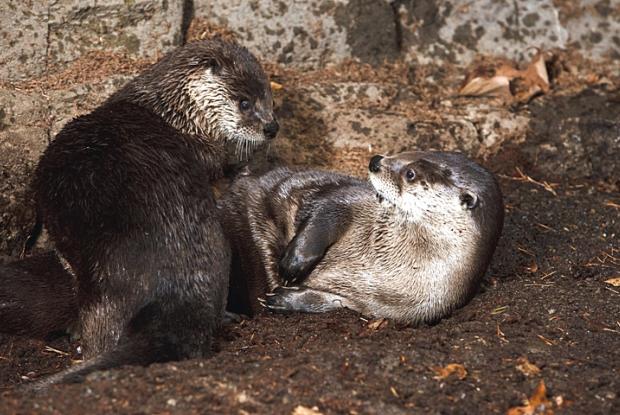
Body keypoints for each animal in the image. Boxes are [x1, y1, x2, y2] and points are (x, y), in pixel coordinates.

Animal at [218, 151, 504, 324]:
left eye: (410, 174)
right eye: (410, 151)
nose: (376, 160)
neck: (383, 264)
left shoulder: (399, 307)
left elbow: (336, 303)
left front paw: (283, 298)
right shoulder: (354, 200)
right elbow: (329, 207)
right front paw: (292, 264)